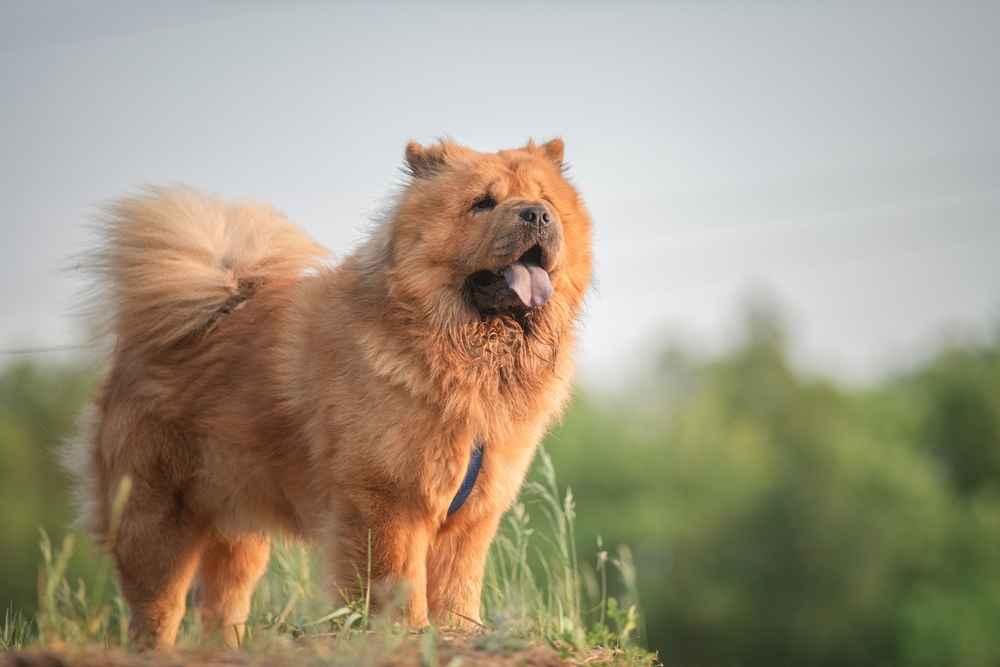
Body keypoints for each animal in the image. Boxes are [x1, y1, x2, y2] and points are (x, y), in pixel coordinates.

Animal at [62, 138, 588, 648]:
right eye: (483, 203)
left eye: (544, 201)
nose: (536, 215)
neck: (468, 354)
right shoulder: (386, 500)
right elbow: (396, 579)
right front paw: (403, 633)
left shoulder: (473, 515)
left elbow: (457, 586)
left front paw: (459, 634)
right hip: (156, 513)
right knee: (157, 605)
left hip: (237, 523)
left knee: (224, 602)